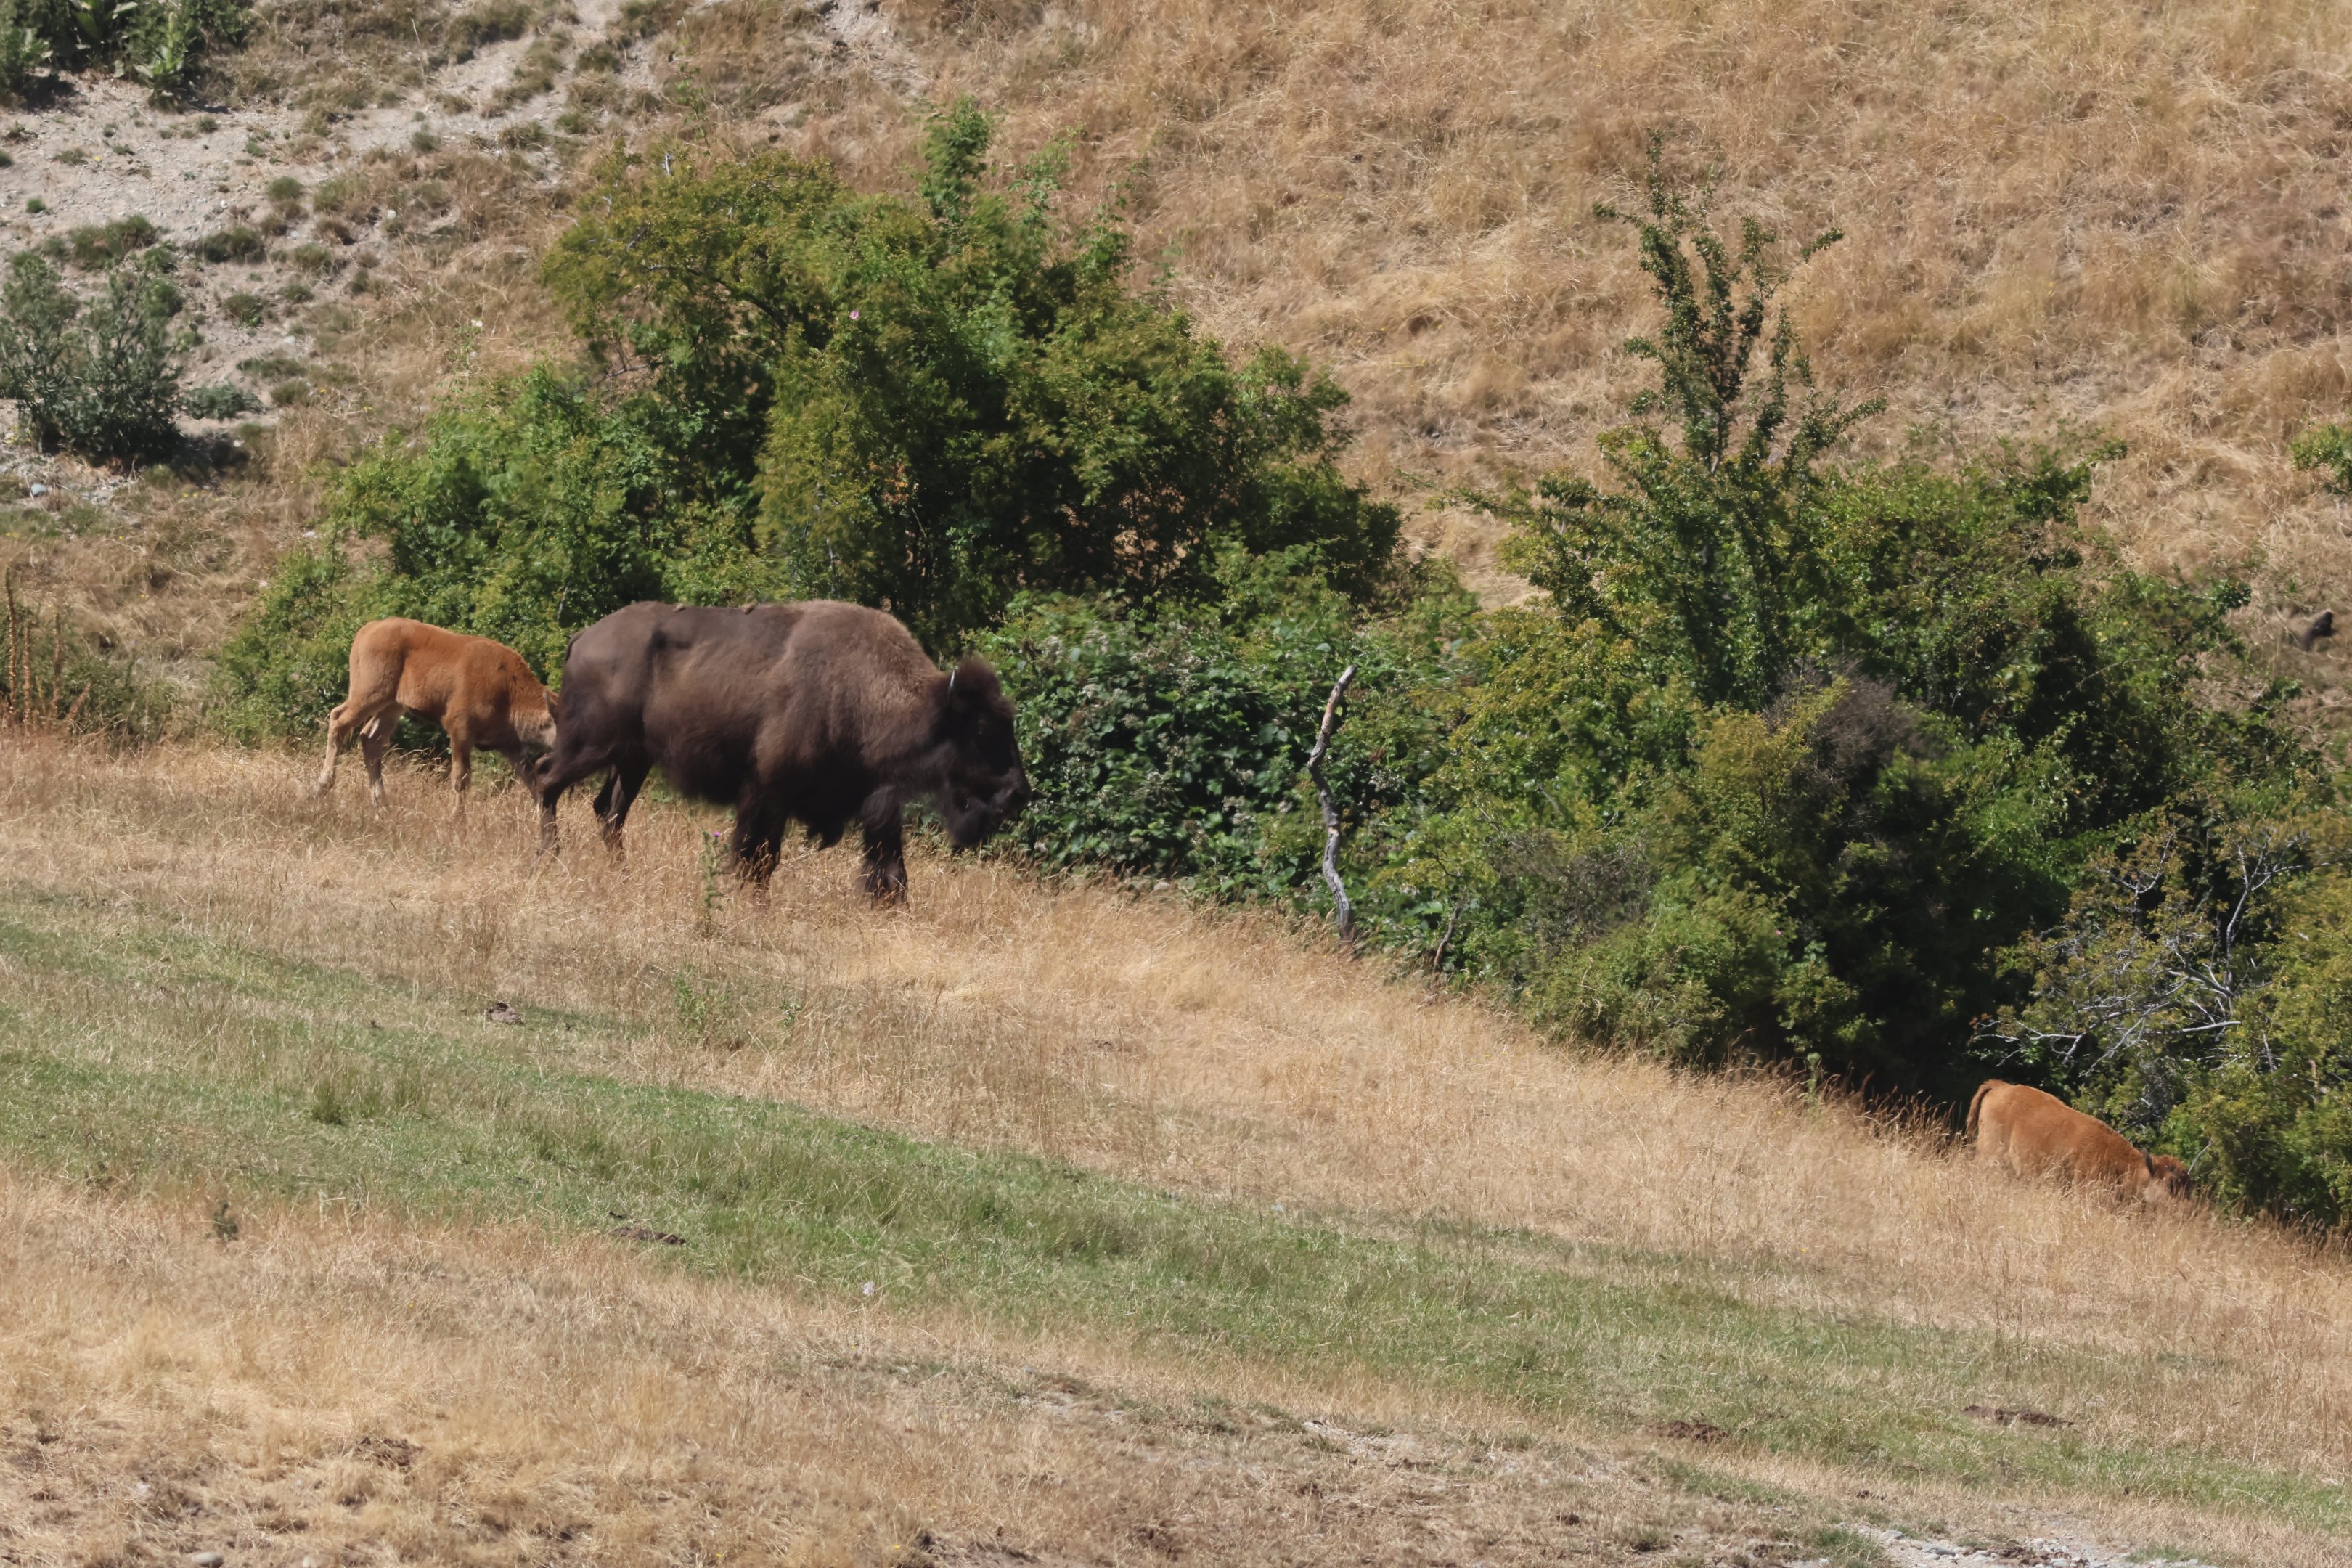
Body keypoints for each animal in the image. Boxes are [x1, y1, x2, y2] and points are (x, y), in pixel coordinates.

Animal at [311, 618, 559, 808]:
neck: (510, 690)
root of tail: (366, 630)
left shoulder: (510, 744)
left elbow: (531, 780)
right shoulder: (460, 728)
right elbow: (461, 780)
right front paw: (458, 824)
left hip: (393, 704)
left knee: (371, 737)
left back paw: (382, 804)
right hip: (369, 692)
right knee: (339, 719)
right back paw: (321, 787)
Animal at [531, 600, 1031, 902]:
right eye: (981, 729)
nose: (1018, 793)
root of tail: (583, 638)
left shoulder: (876, 805)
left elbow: (891, 872)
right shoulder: (768, 792)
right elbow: (758, 857)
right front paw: (752, 904)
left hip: (633, 760)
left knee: (608, 811)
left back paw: (621, 876)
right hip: (591, 747)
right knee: (547, 779)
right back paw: (550, 857)